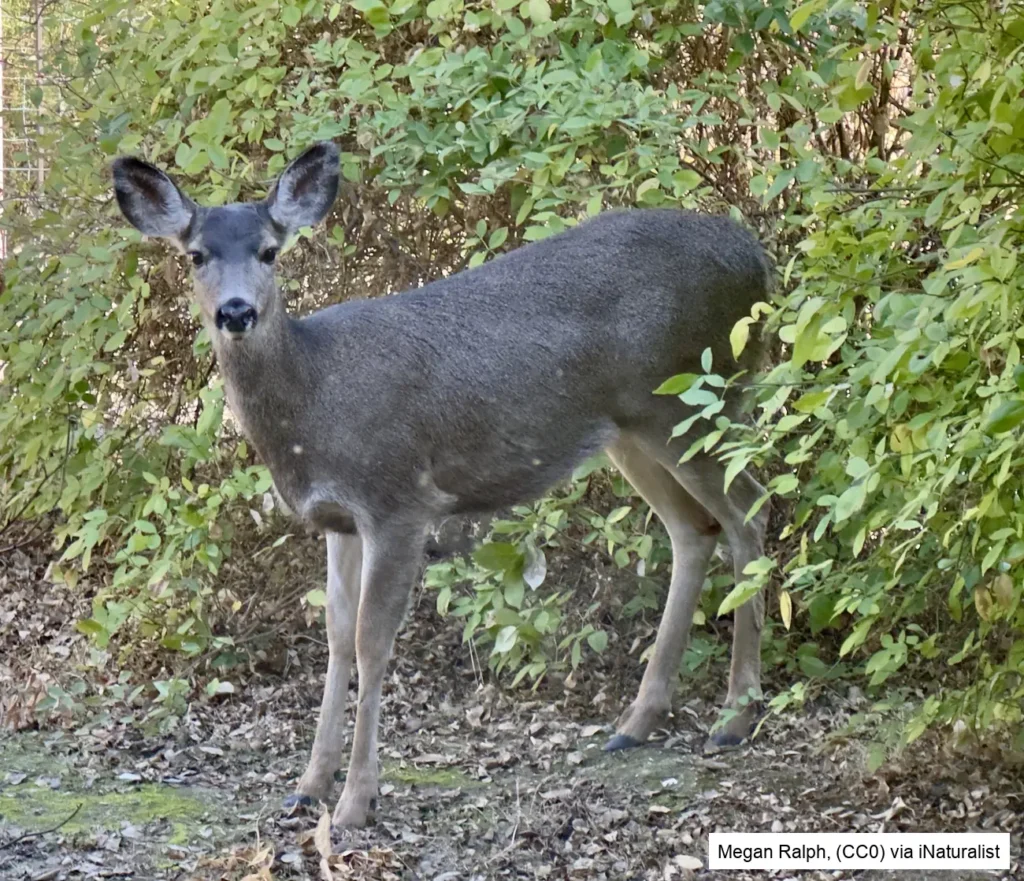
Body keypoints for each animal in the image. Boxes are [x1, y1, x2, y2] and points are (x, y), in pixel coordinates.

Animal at [111, 141, 772, 828]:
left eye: (269, 250)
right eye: (195, 254)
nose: (236, 311)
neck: (315, 402)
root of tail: (758, 258)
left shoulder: (398, 499)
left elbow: (371, 641)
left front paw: (355, 801)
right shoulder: (338, 519)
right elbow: (336, 636)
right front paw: (308, 785)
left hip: (692, 399)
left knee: (749, 508)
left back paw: (736, 717)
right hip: (630, 430)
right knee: (693, 527)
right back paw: (638, 721)